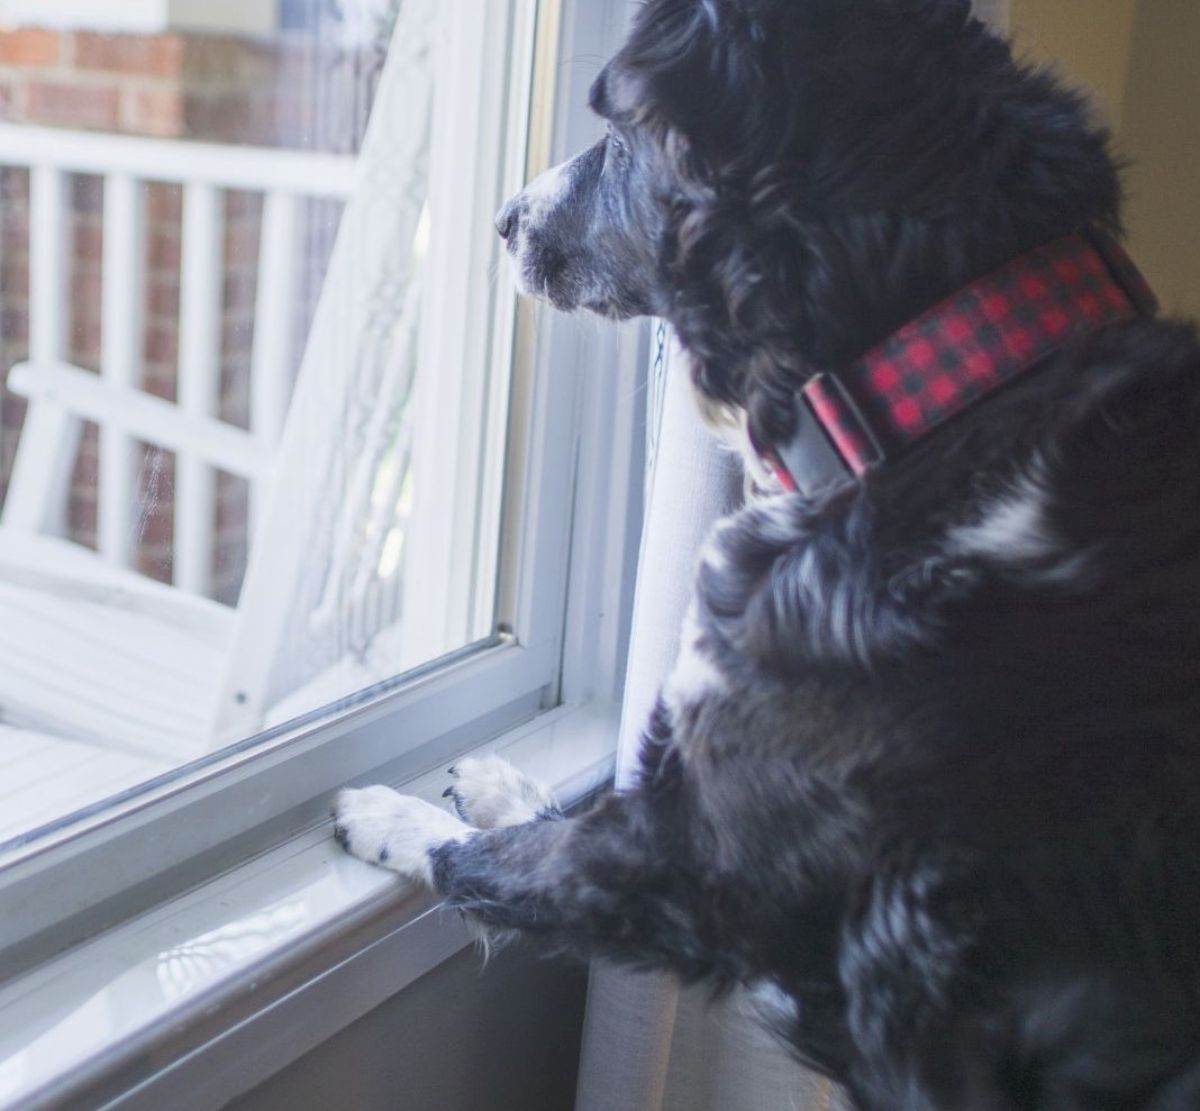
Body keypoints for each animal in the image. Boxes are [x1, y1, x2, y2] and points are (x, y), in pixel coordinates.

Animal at [336, 4, 1200, 1108]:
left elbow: (499, 859)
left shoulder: (685, 862)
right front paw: (492, 782)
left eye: (617, 133)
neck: (942, 406)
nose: (504, 217)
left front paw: (388, 814)